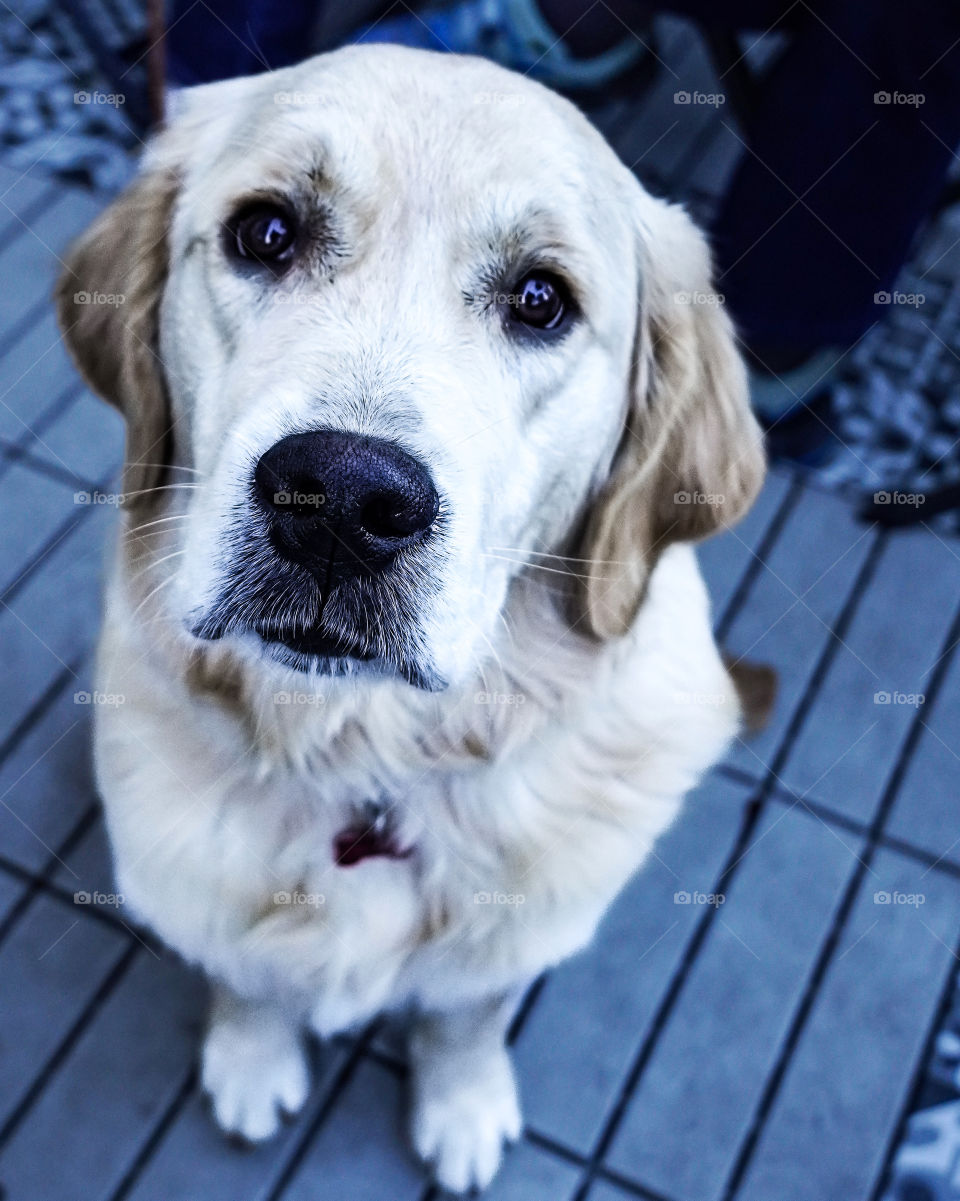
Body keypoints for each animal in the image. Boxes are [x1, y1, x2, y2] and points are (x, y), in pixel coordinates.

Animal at [58, 44, 764, 1191]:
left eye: (540, 298)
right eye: (266, 232)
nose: (341, 501)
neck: (366, 760)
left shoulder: (516, 939)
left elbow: (467, 1016)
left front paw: (464, 1104)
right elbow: (245, 978)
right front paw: (251, 1059)